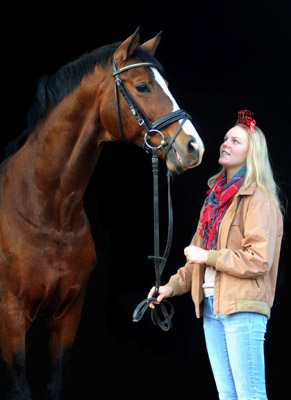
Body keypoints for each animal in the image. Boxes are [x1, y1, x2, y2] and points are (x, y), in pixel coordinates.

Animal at [0, 28, 205, 400]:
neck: (47, 214)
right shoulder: (11, 316)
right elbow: (19, 387)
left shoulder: (68, 312)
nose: (194, 146)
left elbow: (55, 382)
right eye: (143, 86)